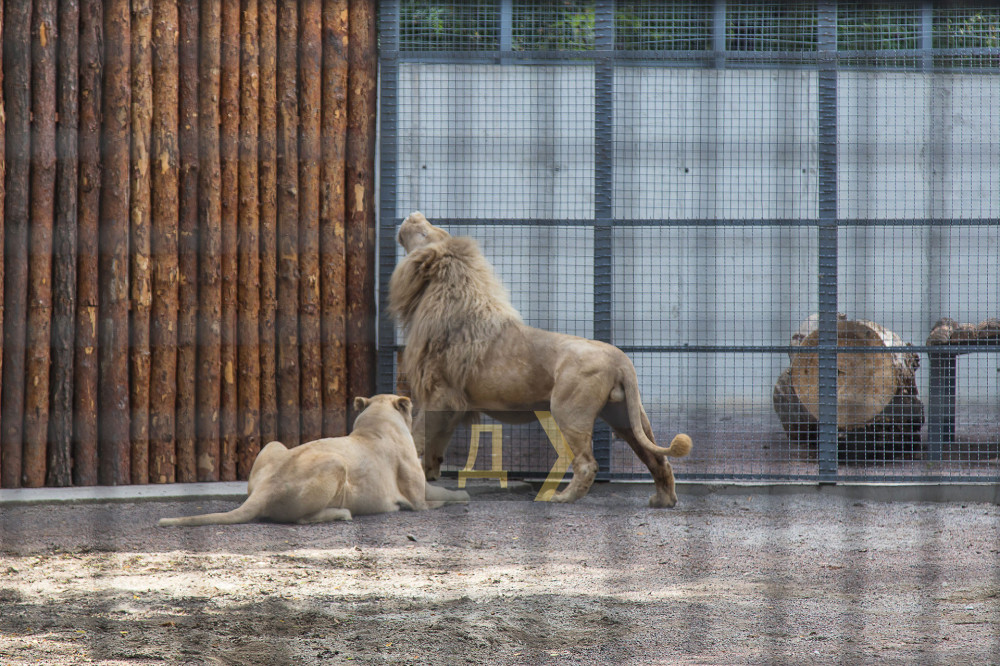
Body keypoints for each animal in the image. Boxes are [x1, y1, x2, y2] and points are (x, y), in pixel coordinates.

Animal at [159, 394, 469, 527]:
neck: (376, 420)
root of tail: (265, 490)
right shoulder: (419, 497)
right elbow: (447, 495)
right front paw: (463, 494)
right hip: (336, 464)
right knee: (301, 520)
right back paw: (343, 514)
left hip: (273, 444)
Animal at [388, 211, 692, 507]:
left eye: (424, 231)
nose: (414, 214)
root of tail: (621, 358)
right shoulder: (453, 403)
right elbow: (435, 445)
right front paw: (430, 476)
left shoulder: (441, 394)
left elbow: (416, 436)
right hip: (626, 416)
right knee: (657, 459)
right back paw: (663, 500)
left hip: (569, 412)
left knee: (588, 464)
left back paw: (561, 498)